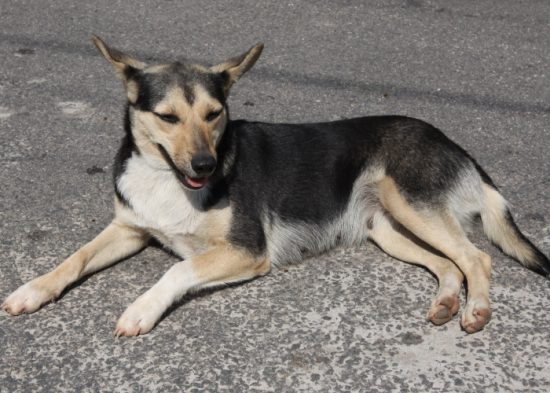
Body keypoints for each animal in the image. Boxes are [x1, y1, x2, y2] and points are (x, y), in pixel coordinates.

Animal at [2, 37, 548, 336]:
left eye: (214, 114)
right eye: (168, 117)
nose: (205, 164)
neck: (167, 178)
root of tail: (456, 145)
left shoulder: (248, 250)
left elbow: (177, 270)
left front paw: (140, 310)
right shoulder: (129, 229)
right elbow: (73, 259)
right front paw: (31, 291)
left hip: (410, 203)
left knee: (476, 258)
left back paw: (475, 309)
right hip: (388, 228)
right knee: (449, 264)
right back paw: (447, 302)